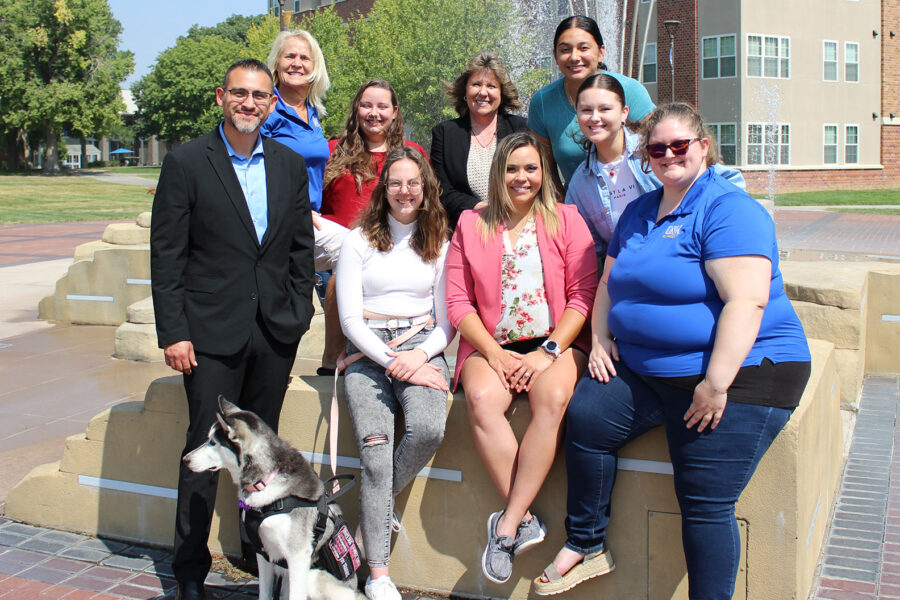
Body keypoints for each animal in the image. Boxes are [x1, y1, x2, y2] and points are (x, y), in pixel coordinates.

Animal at [183, 396, 366, 596]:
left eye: (213, 442)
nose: (185, 459)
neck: (265, 481)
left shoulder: (298, 556)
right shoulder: (264, 553)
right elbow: (264, 593)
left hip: (312, 577)